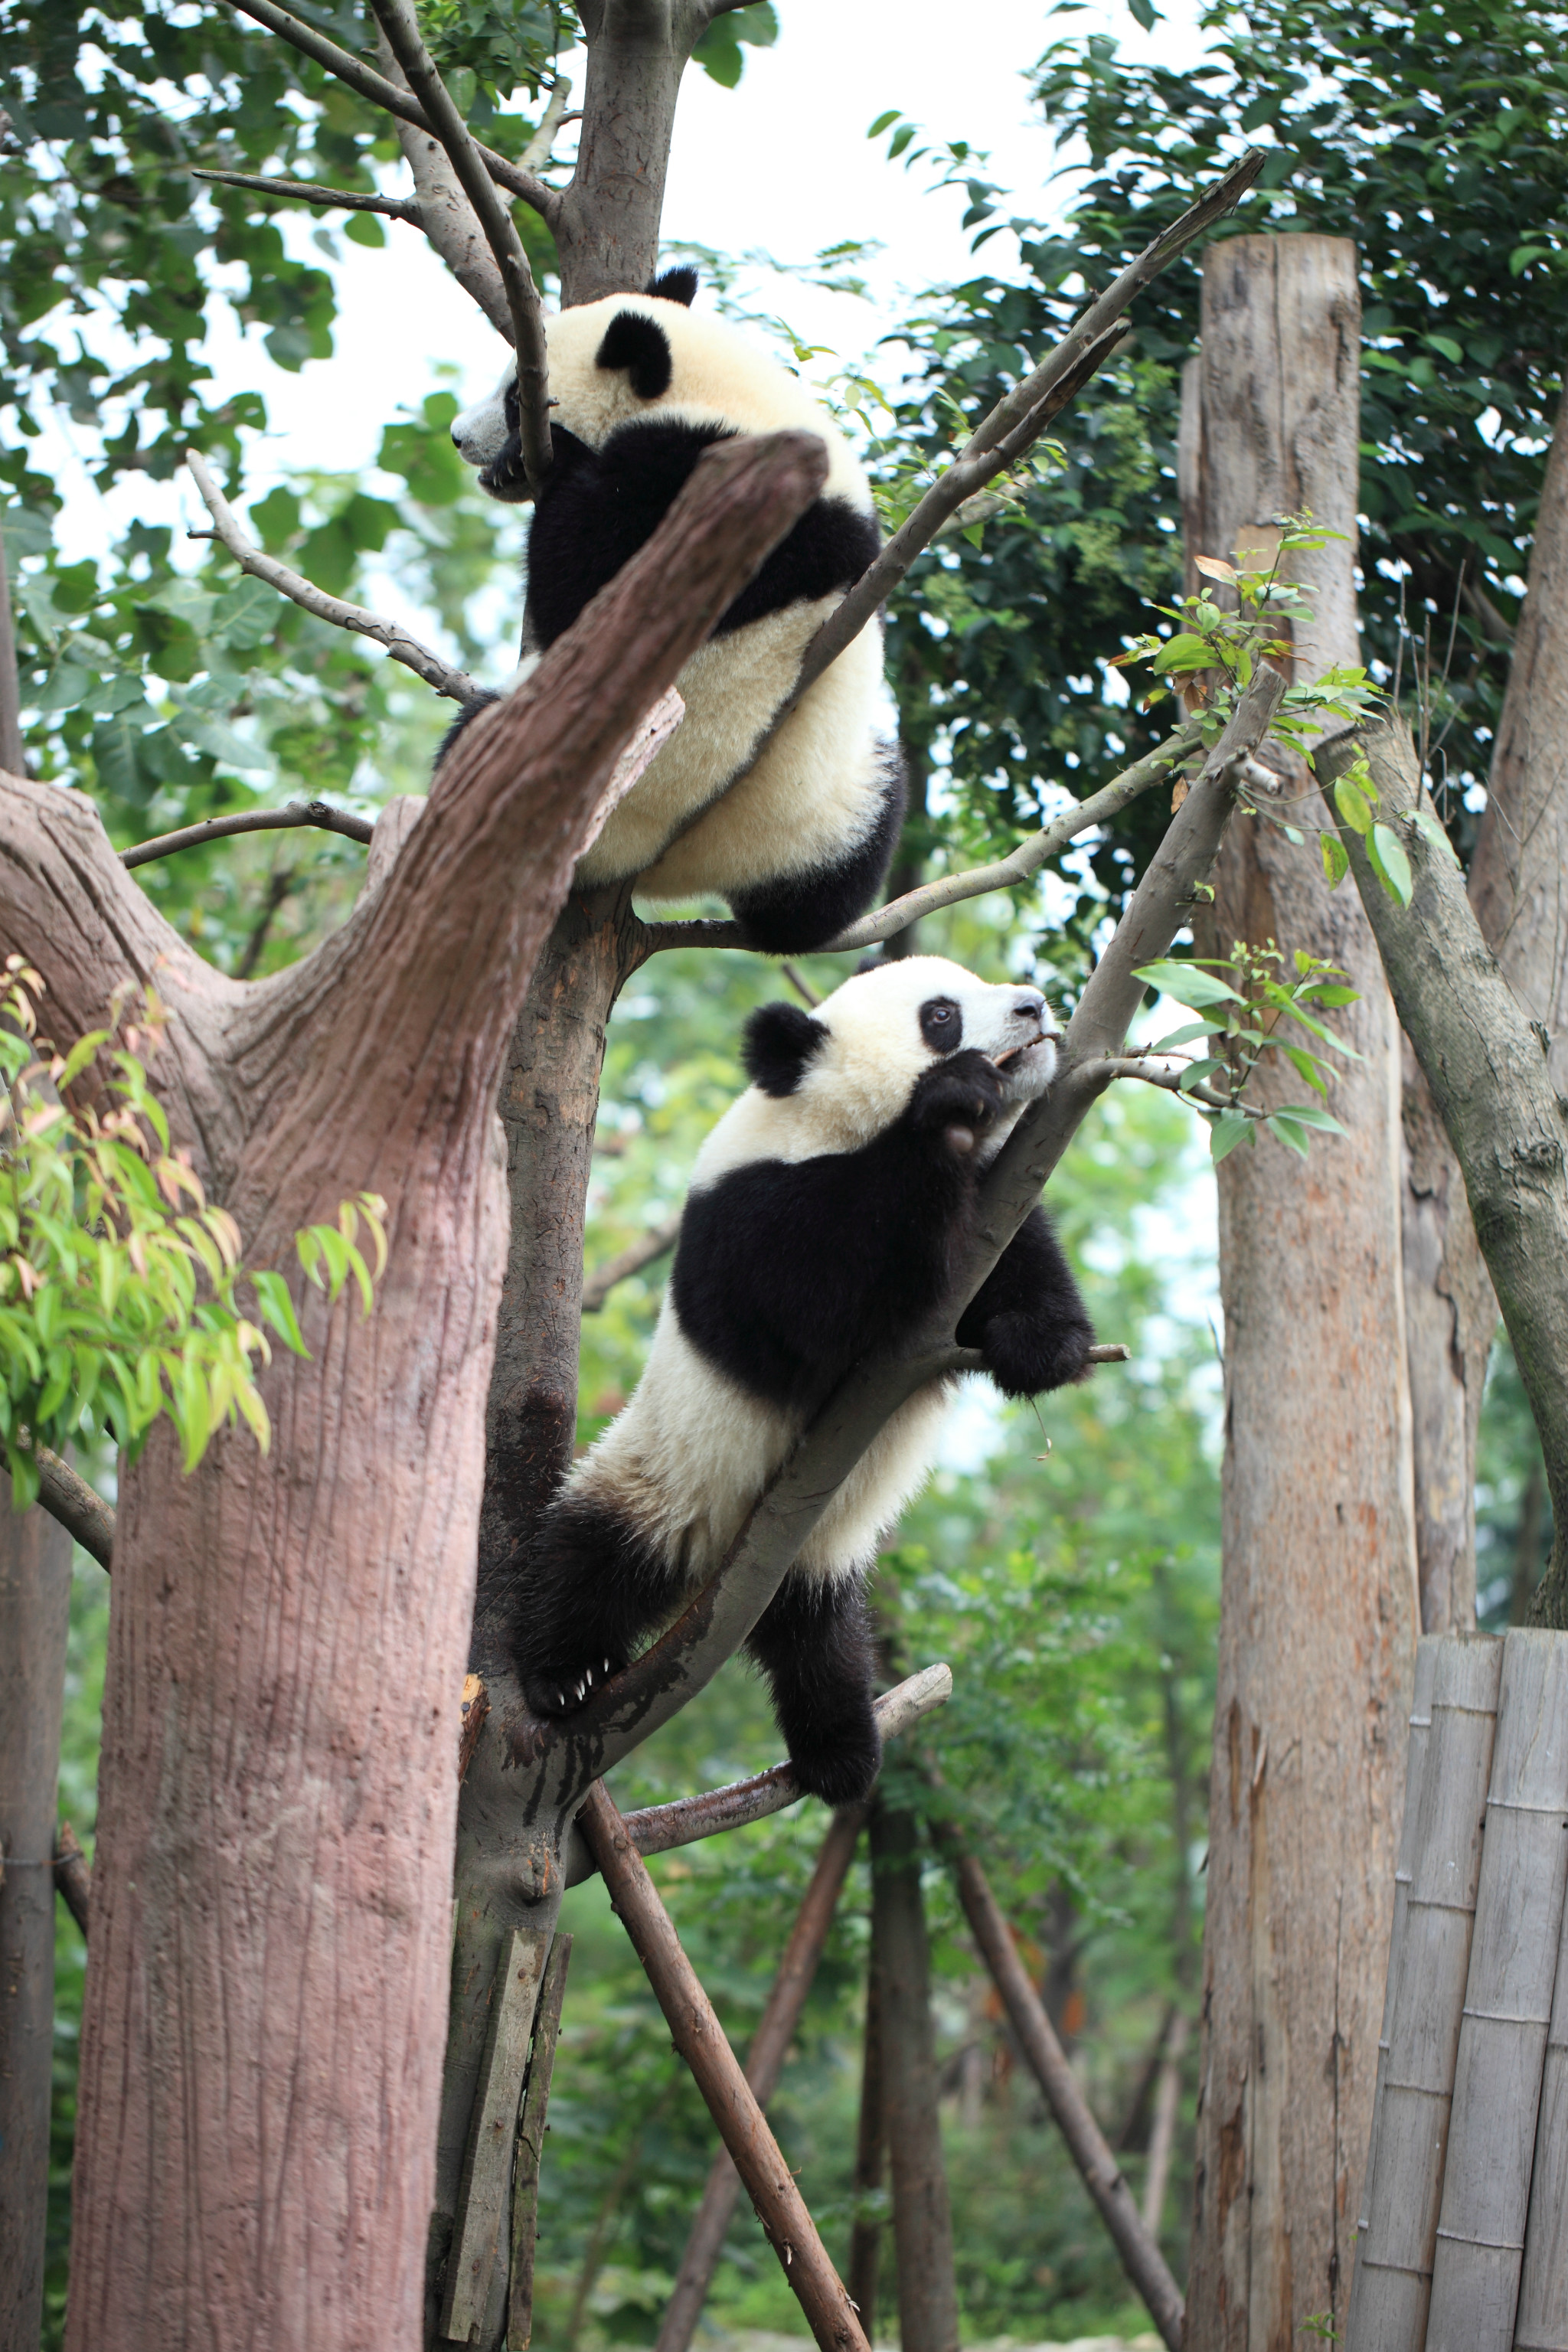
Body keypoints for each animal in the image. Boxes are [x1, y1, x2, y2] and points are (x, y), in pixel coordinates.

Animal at [444, 277, 907, 964]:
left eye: (513, 400)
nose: (457, 437)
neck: (719, 395)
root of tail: (684, 871)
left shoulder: (692, 472)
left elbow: (586, 584)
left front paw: (534, 462)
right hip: (833, 812)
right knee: (834, 878)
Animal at [510, 955, 1099, 1797]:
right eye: (941, 1016)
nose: (1034, 1005)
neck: (817, 1123)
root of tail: (718, 1561)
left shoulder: (993, 1201)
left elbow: (1012, 1262)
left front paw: (1044, 1345)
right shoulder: (747, 1210)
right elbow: (813, 1298)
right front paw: (951, 1101)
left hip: (817, 1555)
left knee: (819, 1639)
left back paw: (841, 1751)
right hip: (665, 1473)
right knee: (588, 1553)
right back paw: (565, 1675)